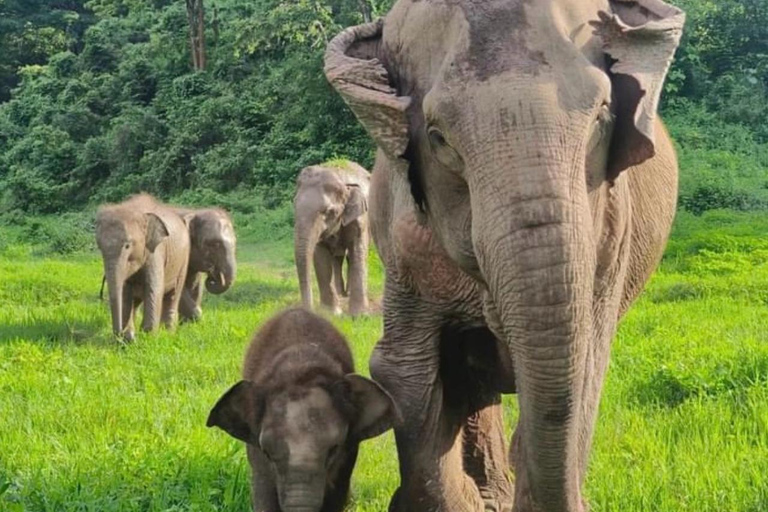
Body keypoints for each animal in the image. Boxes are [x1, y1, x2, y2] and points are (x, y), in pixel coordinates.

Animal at [95, 194, 190, 341]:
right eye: (99, 247)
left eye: (127, 245)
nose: (120, 335)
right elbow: (125, 291)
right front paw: (129, 337)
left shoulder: (156, 252)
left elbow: (154, 288)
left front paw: (148, 337)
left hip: (184, 260)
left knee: (173, 295)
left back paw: (168, 333)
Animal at [207, 308, 399, 512]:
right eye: (267, 453)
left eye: (334, 450)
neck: (299, 369)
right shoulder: (256, 454)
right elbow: (263, 492)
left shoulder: (347, 456)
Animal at [294, 162, 371, 316]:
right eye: (294, 205)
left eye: (329, 211)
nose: (309, 311)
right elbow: (320, 256)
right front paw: (332, 313)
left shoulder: (360, 219)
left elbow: (358, 250)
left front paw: (360, 316)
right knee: (338, 258)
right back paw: (341, 293)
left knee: (349, 257)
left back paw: (347, 294)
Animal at [324, 1, 684, 511]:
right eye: (438, 137)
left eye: (602, 114)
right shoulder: (404, 241)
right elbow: (403, 368)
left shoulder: (611, 236)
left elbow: (586, 363)